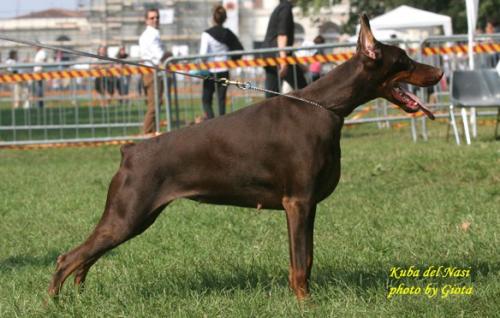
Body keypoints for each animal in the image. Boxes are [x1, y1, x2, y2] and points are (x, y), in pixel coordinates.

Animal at [48, 14, 444, 300]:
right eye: (404, 59)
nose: (440, 72)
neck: (327, 108)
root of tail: (130, 149)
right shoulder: (298, 201)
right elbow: (300, 263)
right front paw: (306, 303)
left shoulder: (306, 205)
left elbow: (307, 258)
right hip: (128, 214)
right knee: (68, 258)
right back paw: (55, 301)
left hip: (135, 218)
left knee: (85, 258)